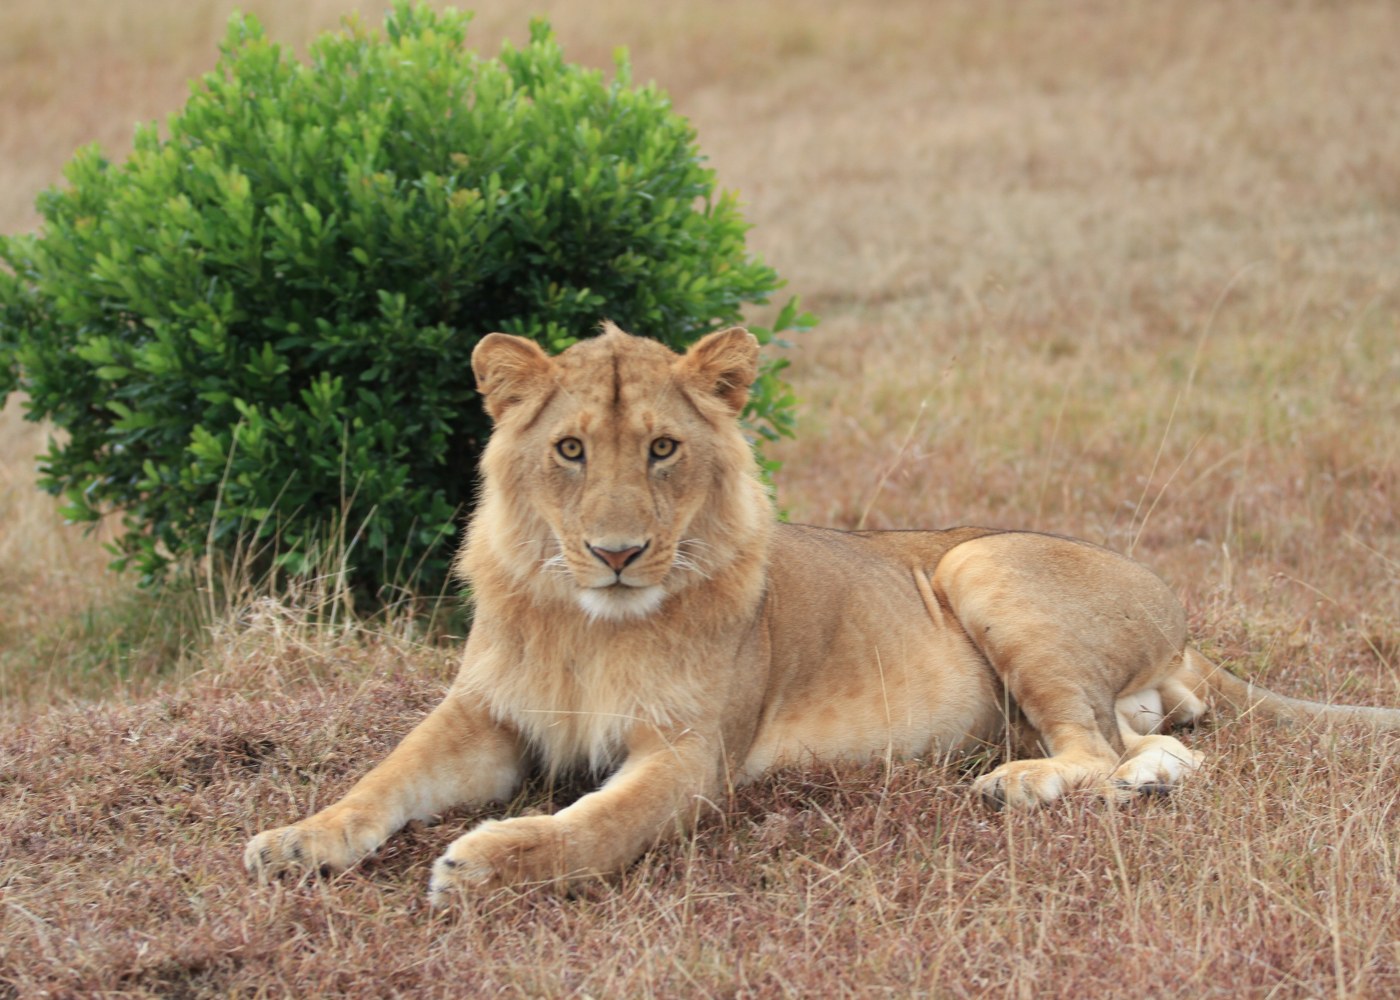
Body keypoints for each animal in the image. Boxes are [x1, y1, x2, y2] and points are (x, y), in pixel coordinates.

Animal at [243, 323, 1400, 901]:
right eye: (569, 449)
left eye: (661, 448)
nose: (616, 554)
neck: (587, 625)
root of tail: (1187, 630)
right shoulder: (486, 713)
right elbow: (384, 775)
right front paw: (298, 841)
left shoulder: (689, 757)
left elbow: (592, 828)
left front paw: (483, 861)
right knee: (1146, 745)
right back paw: (1137, 776)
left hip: (980, 561)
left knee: (1094, 748)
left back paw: (1026, 785)